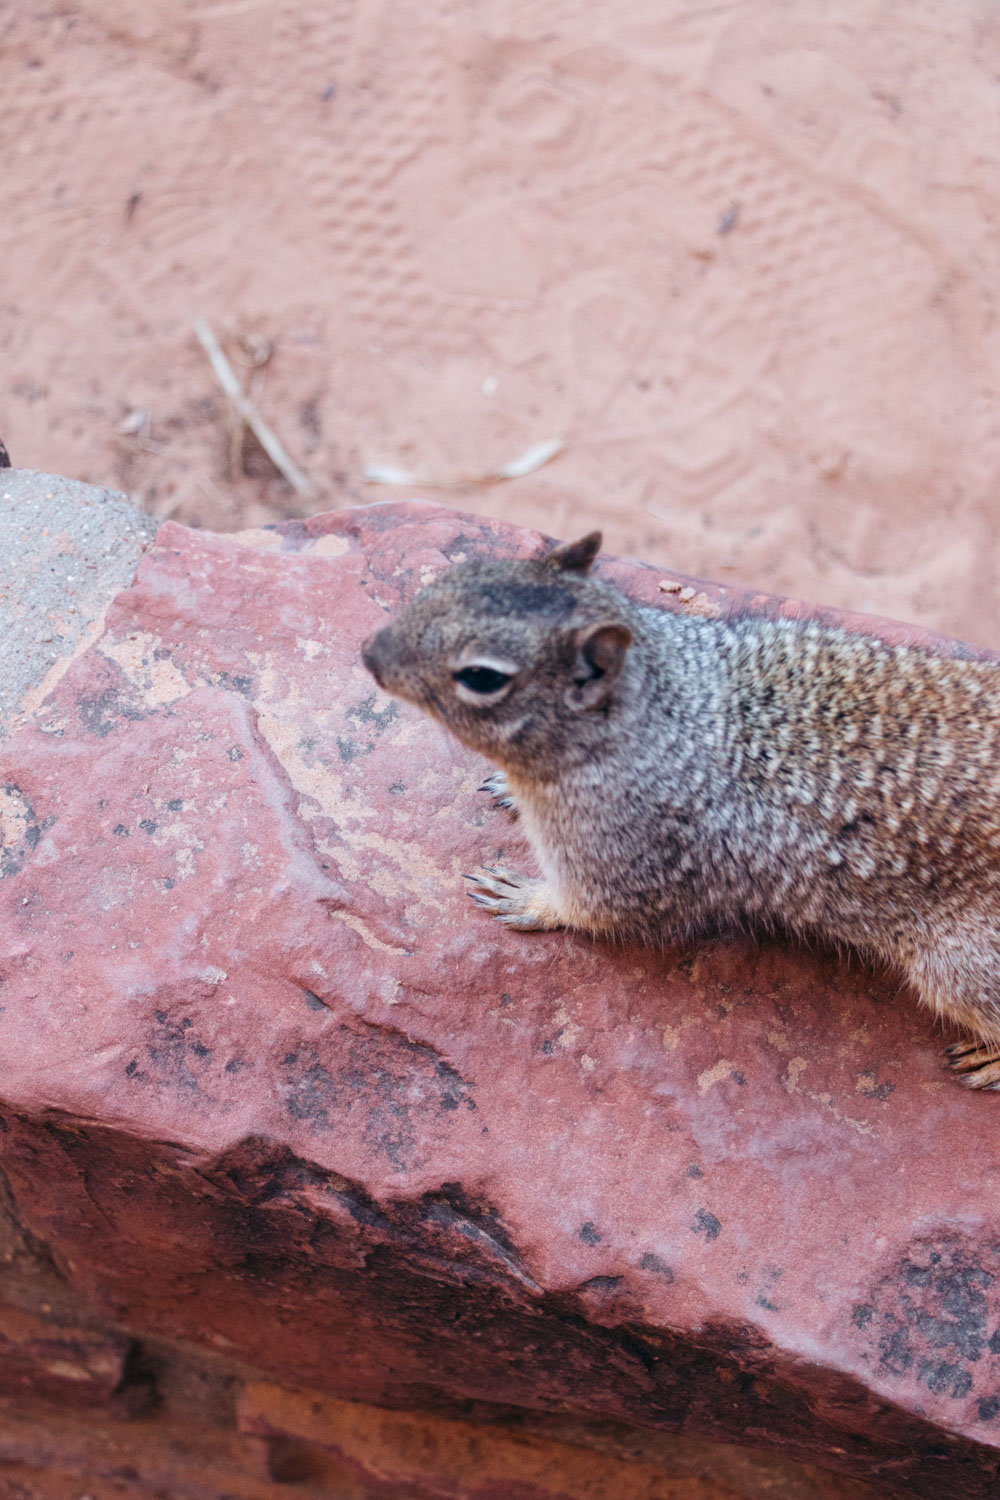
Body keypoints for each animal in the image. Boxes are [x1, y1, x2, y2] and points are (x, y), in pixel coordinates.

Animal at [364, 531, 1000, 1092]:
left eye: (481, 676)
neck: (665, 703)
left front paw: (529, 899)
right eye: (457, 577)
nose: (368, 654)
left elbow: (591, 909)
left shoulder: (627, 861)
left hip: (961, 969)